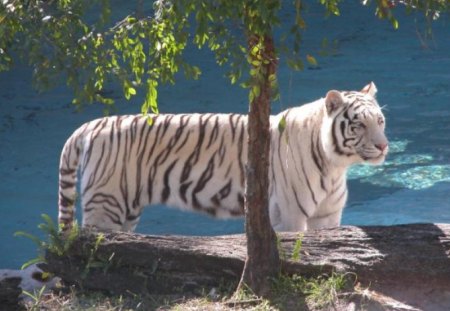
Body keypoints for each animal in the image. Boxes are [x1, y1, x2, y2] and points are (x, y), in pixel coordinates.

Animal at [58, 81, 388, 233]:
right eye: (359, 124)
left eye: (380, 121)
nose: (384, 146)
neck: (336, 166)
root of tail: (90, 125)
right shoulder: (290, 216)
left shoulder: (327, 217)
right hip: (106, 206)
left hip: (126, 210)